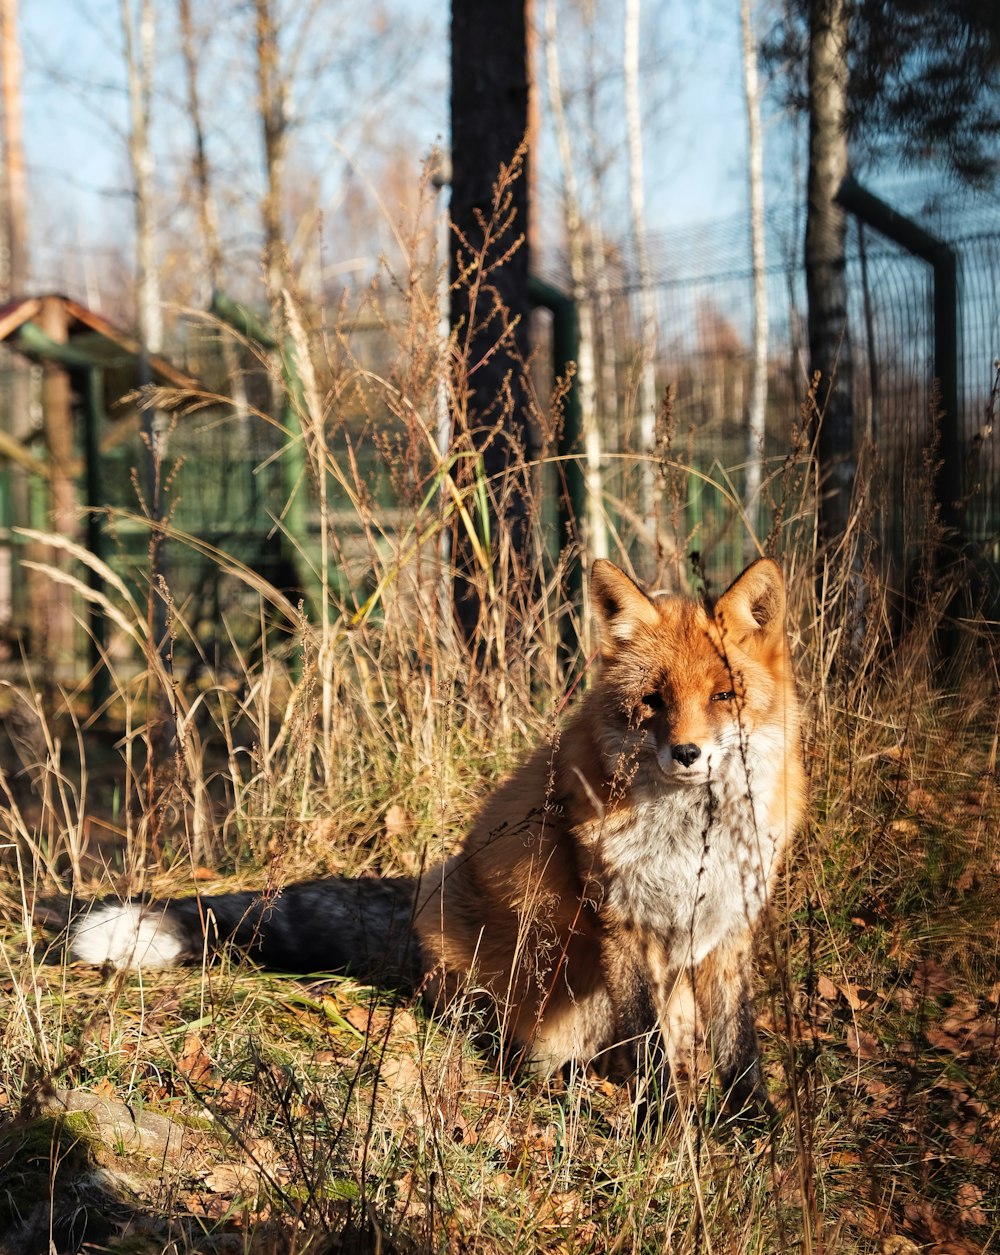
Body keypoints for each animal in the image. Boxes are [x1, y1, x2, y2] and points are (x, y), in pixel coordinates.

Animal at [72, 559, 803, 1119]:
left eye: (724, 694)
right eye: (653, 700)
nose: (688, 753)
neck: (690, 837)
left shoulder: (730, 925)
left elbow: (739, 1047)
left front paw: (754, 1129)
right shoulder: (624, 923)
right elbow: (647, 1049)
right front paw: (664, 1127)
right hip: (501, 950)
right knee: (520, 1045)